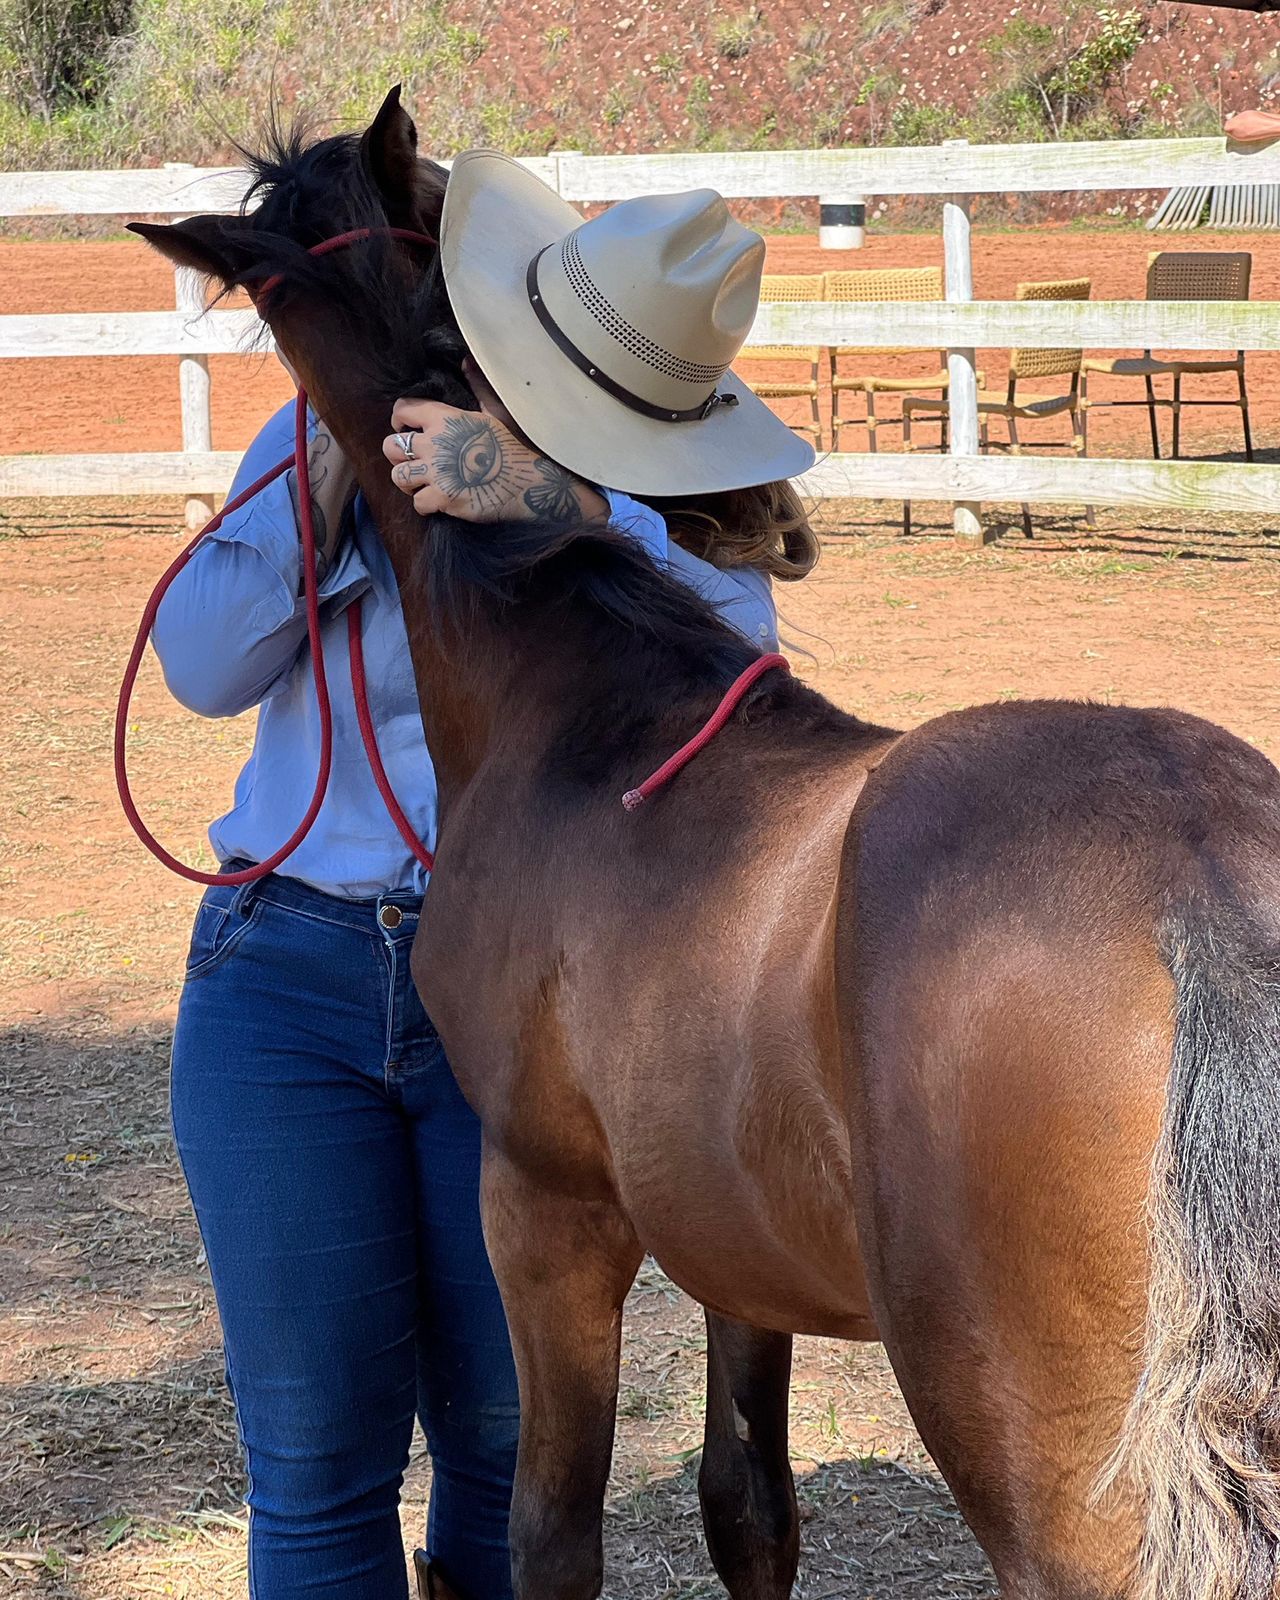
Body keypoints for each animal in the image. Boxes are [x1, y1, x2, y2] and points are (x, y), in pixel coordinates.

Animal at [134, 90, 1280, 1600]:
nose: (767, 523)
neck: (581, 710)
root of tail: (1195, 881)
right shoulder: (739, 1252)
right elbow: (749, 1506)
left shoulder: (543, 1211)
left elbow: (548, 1530)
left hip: (1053, 1471)